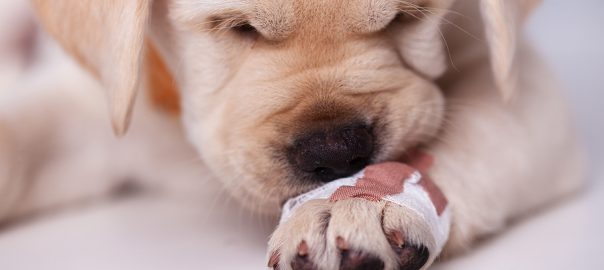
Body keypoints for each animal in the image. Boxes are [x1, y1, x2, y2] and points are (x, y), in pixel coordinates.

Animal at [0, 0, 584, 268]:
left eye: (406, 17)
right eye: (236, 28)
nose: (337, 151)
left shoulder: (522, 87)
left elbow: (469, 134)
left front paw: (358, 204)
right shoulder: (101, 106)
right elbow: (17, 141)